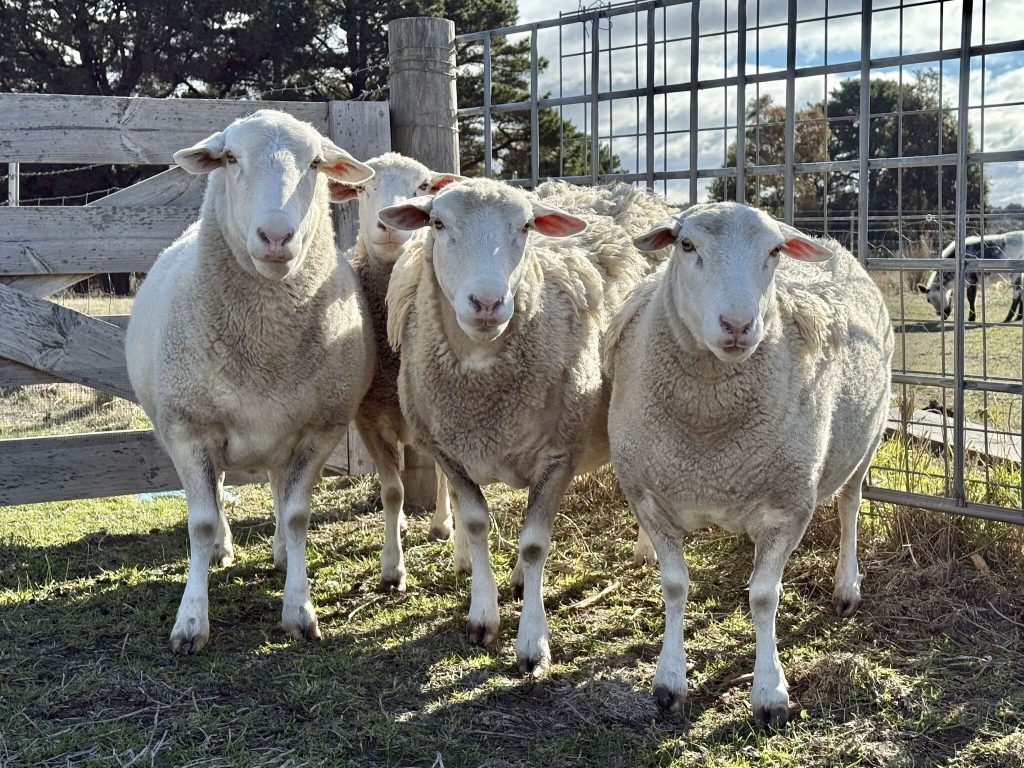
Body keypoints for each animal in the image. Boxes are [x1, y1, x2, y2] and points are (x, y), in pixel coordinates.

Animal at [125, 110, 375, 653]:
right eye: (230, 158)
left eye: (316, 163)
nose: (276, 237)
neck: (265, 346)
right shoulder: (189, 428)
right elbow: (199, 522)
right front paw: (191, 622)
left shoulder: (321, 427)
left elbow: (299, 514)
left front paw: (299, 610)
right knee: (216, 492)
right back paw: (222, 547)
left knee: (280, 489)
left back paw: (280, 552)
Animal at [331, 152, 463, 591]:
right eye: (362, 187)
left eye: (423, 186)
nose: (388, 227)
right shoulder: (368, 416)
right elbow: (391, 491)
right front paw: (392, 568)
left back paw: (441, 525)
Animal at [380, 178, 672, 677]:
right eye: (437, 223)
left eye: (526, 226)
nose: (487, 302)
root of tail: (639, 193)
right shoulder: (448, 451)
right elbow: (476, 522)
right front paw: (483, 616)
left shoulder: (559, 454)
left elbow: (535, 544)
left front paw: (532, 644)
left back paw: (645, 549)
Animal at [604, 202, 893, 726]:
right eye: (687, 245)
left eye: (774, 251)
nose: (738, 325)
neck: (708, 429)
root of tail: (833, 244)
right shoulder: (650, 497)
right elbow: (674, 586)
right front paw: (669, 681)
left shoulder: (789, 506)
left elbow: (763, 596)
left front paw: (769, 692)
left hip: (866, 441)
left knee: (849, 507)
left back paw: (846, 586)